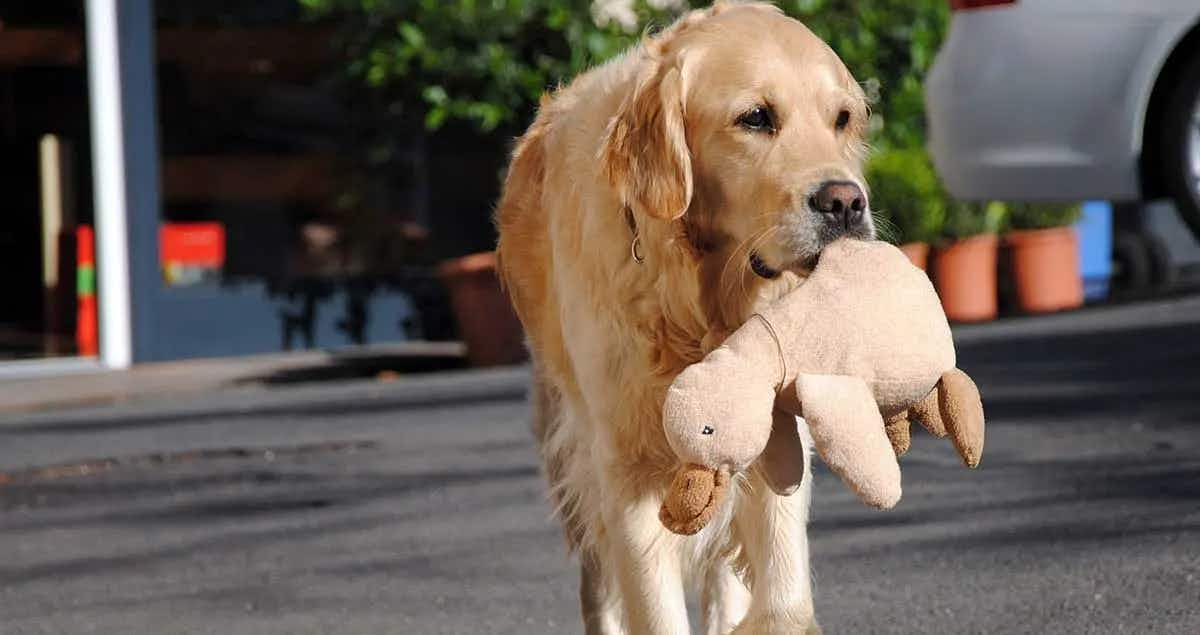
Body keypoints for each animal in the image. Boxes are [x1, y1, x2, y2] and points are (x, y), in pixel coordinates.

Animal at [494, 3, 873, 628]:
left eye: (841, 119)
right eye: (755, 117)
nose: (846, 203)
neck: (698, 303)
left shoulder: (773, 440)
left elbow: (784, 602)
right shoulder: (626, 470)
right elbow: (654, 607)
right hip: (572, 446)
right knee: (600, 586)